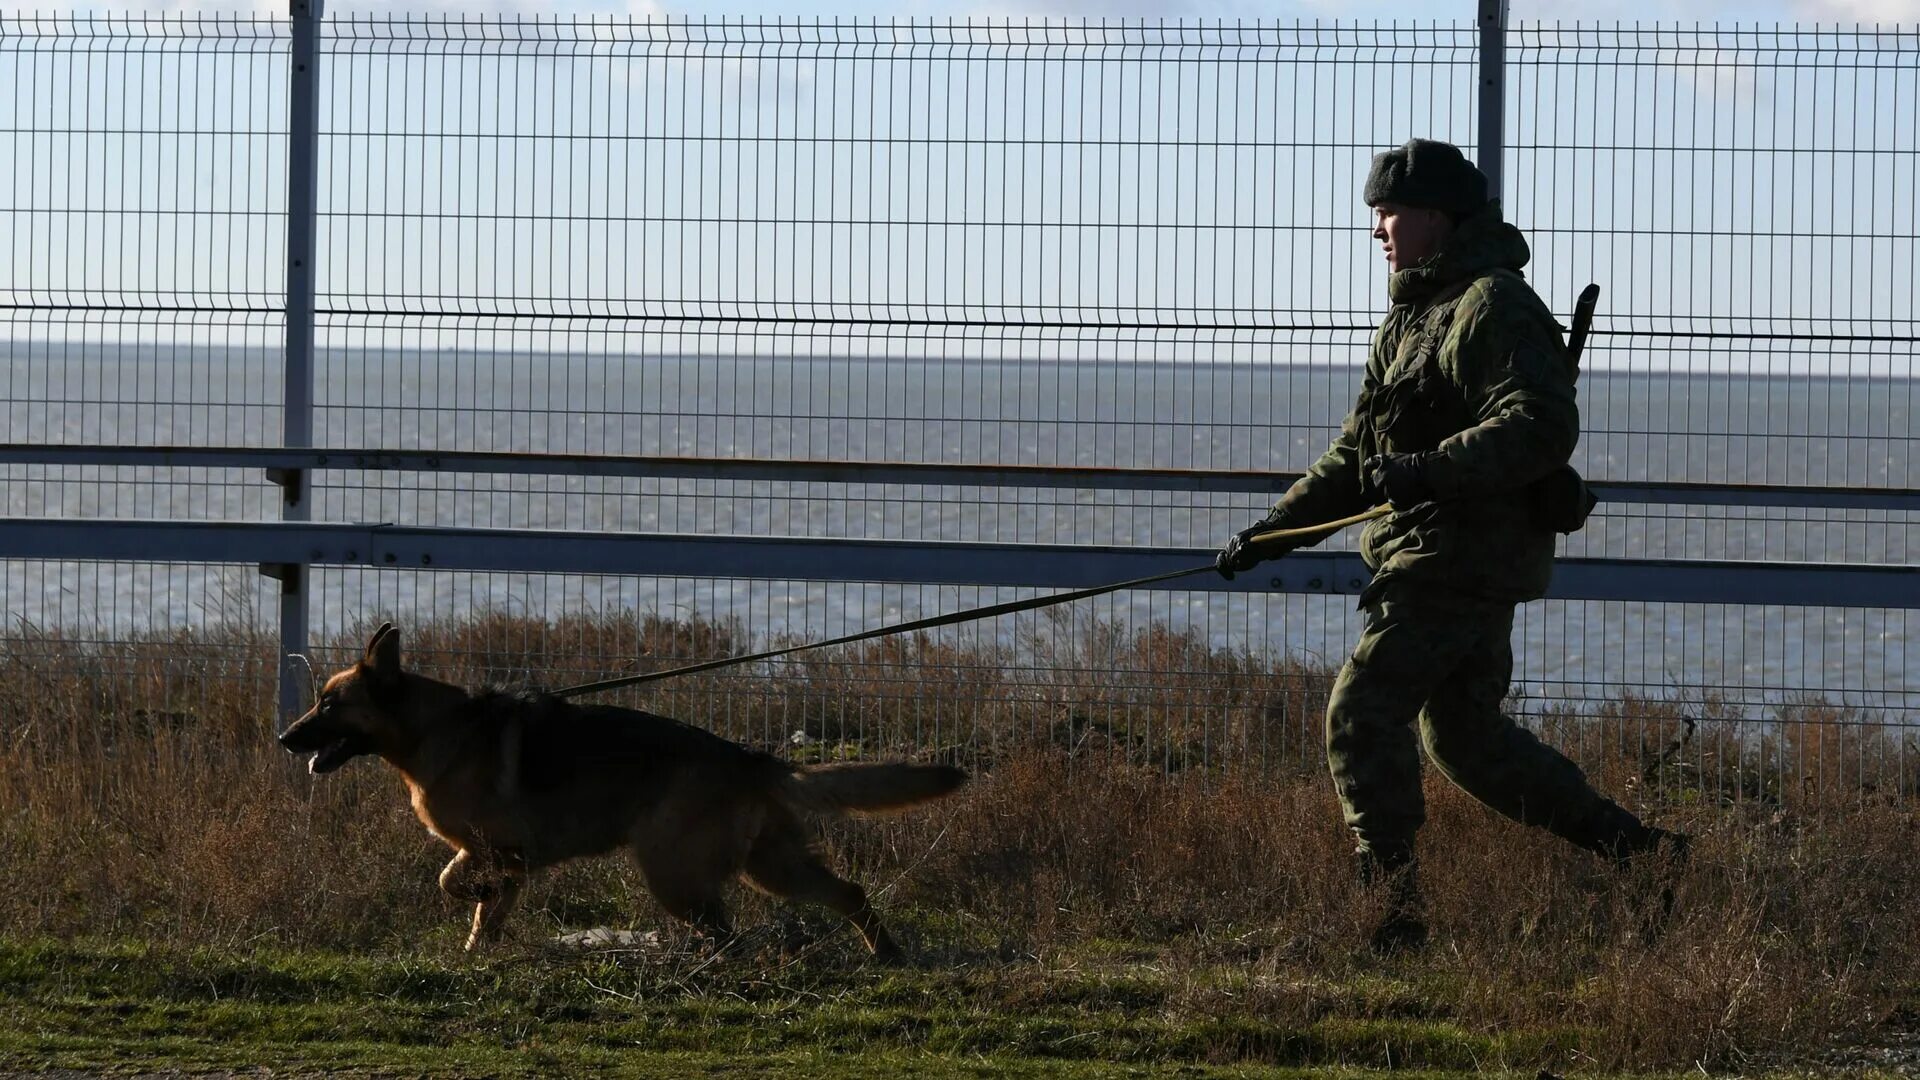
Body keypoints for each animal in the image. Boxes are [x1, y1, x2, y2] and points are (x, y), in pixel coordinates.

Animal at [278, 622, 967, 957]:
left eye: (330, 704)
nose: (286, 738)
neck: (433, 729)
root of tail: (749, 758)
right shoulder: (503, 858)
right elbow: (484, 910)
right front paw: (478, 951)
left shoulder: (501, 851)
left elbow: (456, 882)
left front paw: (473, 906)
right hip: (768, 866)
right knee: (843, 894)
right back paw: (884, 954)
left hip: (671, 871)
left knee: (730, 932)